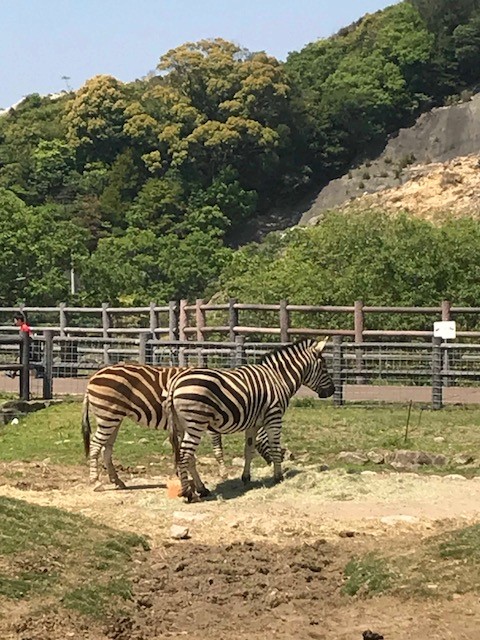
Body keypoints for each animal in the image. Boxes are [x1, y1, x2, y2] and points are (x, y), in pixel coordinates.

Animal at [81, 362, 278, 488]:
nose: (278, 461)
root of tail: (93, 377)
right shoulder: (209, 425)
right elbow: (217, 449)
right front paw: (222, 473)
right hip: (109, 415)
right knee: (97, 445)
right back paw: (96, 482)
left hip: (114, 417)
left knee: (106, 448)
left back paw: (117, 481)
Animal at [167, 338, 336, 502]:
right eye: (324, 367)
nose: (332, 391)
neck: (278, 378)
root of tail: (175, 382)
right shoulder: (274, 417)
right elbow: (274, 447)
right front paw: (278, 477)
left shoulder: (253, 424)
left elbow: (249, 450)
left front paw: (246, 478)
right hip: (195, 424)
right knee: (184, 455)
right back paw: (188, 493)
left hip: (182, 426)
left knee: (187, 456)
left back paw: (200, 489)